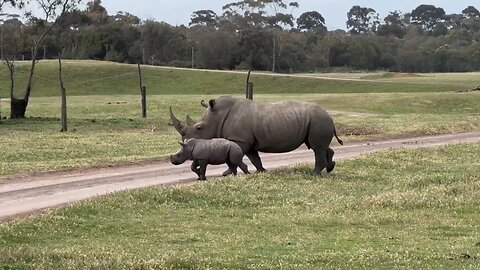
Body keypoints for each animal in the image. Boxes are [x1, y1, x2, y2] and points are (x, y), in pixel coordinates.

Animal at [171, 96, 344, 174]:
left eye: (199, 128)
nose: (186, 140)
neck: (217, 116)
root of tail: (329, 116)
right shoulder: (247, 141)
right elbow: (254, 158)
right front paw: (262, 171)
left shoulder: (239, 140)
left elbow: (235, 158)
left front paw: (226, 173)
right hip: (317, 121)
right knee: (321, 147)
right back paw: (330, 168)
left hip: (318, 120)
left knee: (317, 148)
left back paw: (314, 174)